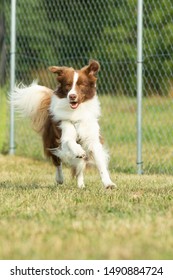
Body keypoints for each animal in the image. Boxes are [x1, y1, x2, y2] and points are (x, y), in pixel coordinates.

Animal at [11, 60, 115, 189]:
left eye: (82, 84)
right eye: (68, 85)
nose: (72, 96)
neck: (76, 112)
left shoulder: (92, 139)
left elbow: (100, 163)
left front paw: (108, 183)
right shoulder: (64, 132)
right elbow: (70, 142)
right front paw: (78, 151)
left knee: (79, 167)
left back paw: (81, 185)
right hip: (52, 141)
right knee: (57, 162)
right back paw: (60, 178)